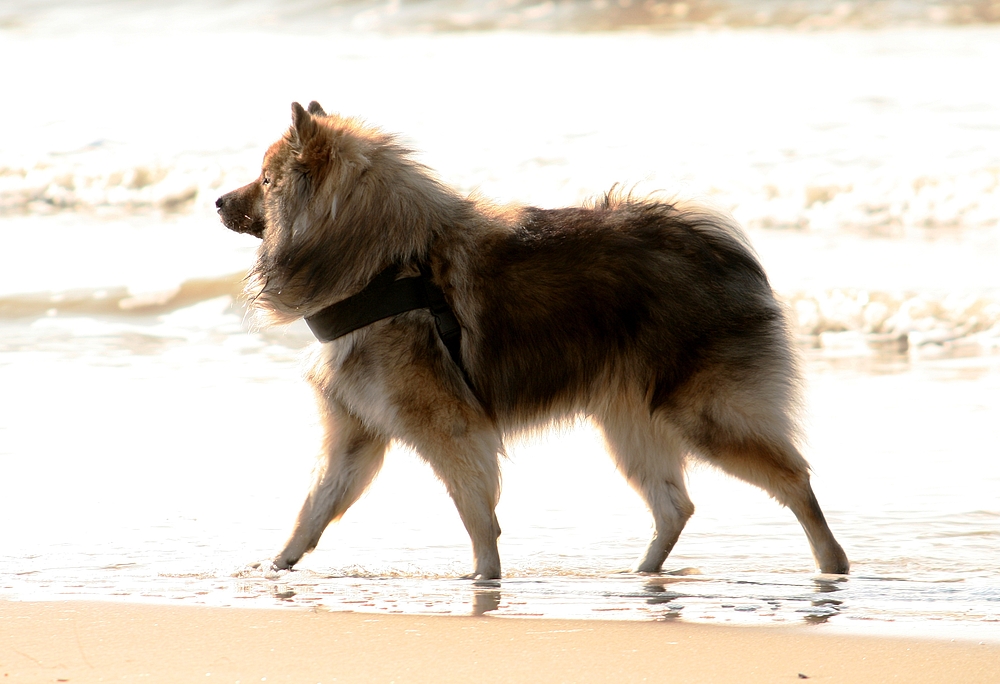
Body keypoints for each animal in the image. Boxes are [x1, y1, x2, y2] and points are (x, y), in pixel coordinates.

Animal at [215, 101, 848, 580]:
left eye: (266, 181)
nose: (219, 201)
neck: (384, 265)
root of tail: (726, 251)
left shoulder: (449, 430)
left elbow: (476, 513)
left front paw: (484, 579)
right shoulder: (357, 433)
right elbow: (312, 511)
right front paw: (276, 566)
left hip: (704, 415)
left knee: (795, 482)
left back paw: (832, 564)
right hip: (630, 425)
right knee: (675, 507)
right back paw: (642, 575)